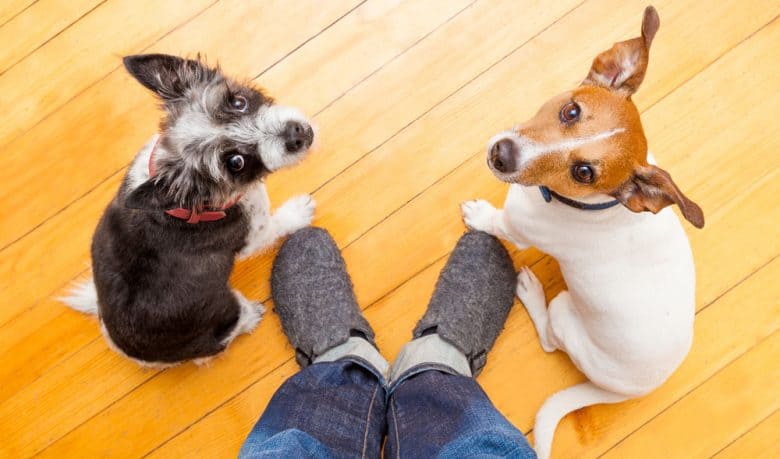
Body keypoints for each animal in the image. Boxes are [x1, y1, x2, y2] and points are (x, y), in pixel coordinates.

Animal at [63, 54, 314, 370]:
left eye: (238, 102)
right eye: (236, 162)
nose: (297, 134)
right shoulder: (253, 236)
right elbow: (277, 225)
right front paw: (298, 211)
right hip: (227, 312)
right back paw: (251, 317)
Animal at [460, 8, 704, 459]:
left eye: (584, 172)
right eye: (570, 112)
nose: (502, 155)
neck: (589, 205)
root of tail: (626, 392)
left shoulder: (519, 229)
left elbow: (497, 222)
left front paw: (479, 213)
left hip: (563, 313)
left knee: (549, 340)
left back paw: (529, 291)